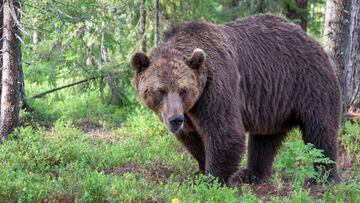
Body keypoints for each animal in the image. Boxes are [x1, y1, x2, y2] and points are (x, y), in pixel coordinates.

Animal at [129, 14, 340, 186]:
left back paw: (323, 177)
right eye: (161, 91)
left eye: (183, 90)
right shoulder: (190, 111)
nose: (175, 120)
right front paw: (200, 170)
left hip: (309, 83)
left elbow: (224, 132)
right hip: (272, 103)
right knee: (264, 139)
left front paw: (213, 179)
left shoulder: (216, 88)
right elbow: (193, 138)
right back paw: (251, 174)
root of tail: (312, 39)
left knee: (320, 131)